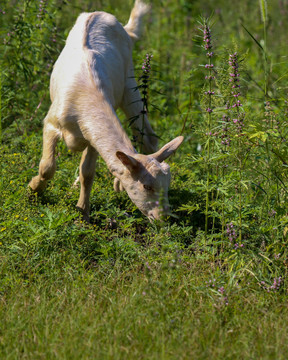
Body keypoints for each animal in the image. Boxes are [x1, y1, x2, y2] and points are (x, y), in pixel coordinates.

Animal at [28, 0, 182, 221]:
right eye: (146, 186)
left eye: (167, 186)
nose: (164, 217)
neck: (85, 96)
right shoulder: (51, 123)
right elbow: (48, 167)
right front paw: (33, 190)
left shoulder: (92, 137)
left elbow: (87, 173)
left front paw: (83, 212)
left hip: (129, 83)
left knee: (147, 136)